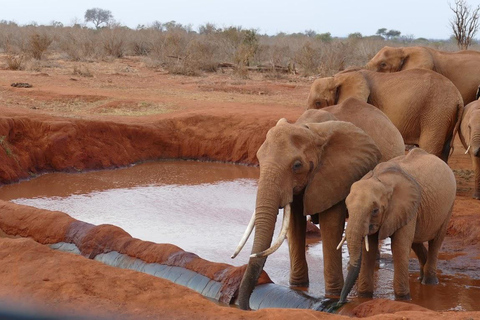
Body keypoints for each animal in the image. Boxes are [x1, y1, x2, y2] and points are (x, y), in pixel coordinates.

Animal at [232, 107, 404, 310]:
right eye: (259, 159)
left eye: (297, 165)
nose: (247, 307)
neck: (311, 130)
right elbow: (295, 224)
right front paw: (297, 287)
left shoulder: (336, 175)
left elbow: (330, 225)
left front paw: (332, 295)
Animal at [306, 68, 464, 162]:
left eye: (318, 102)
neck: (336, 78)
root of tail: (458, 97)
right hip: (444, 115)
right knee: (444, 149)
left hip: (436, 113)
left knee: (429, 146)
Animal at [340, 148, 456, 302]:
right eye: (347, 207)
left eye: (375, 210)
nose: (341, 301)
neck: (381, 179)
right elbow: (369, 249)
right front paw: (364, 297)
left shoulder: (406, 205)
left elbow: (399, 247)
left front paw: (403, 299)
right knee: (416, 241)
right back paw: (421, 276)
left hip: (449, 206)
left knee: (436, 241)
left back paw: (429, 282)